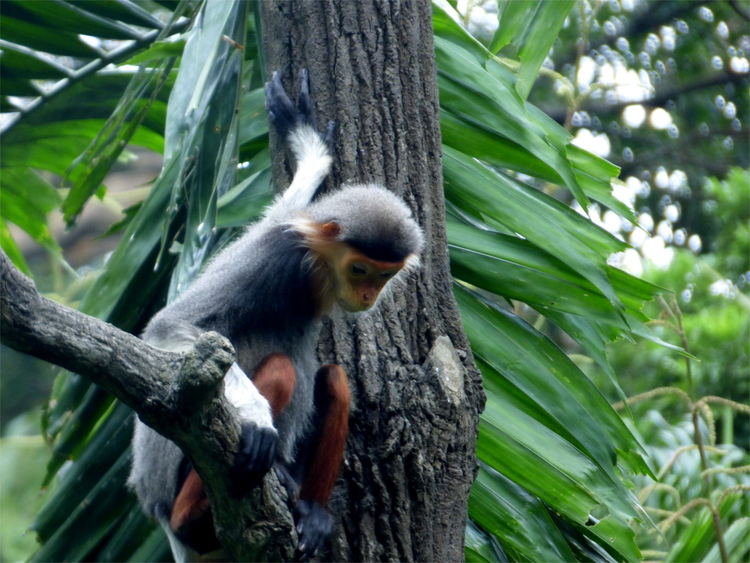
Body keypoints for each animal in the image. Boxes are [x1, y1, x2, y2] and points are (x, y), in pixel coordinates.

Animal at [128, 69, 424, 562]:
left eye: (385, 275)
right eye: (360, 270)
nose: (367, 294)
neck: (312, 275)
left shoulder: (286, 229)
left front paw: (308, 147)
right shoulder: (277, 254)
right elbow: (170, 325)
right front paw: (255, 416)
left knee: (334, 379)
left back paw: (310, 513)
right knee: (281, 370)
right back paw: (197, 511)